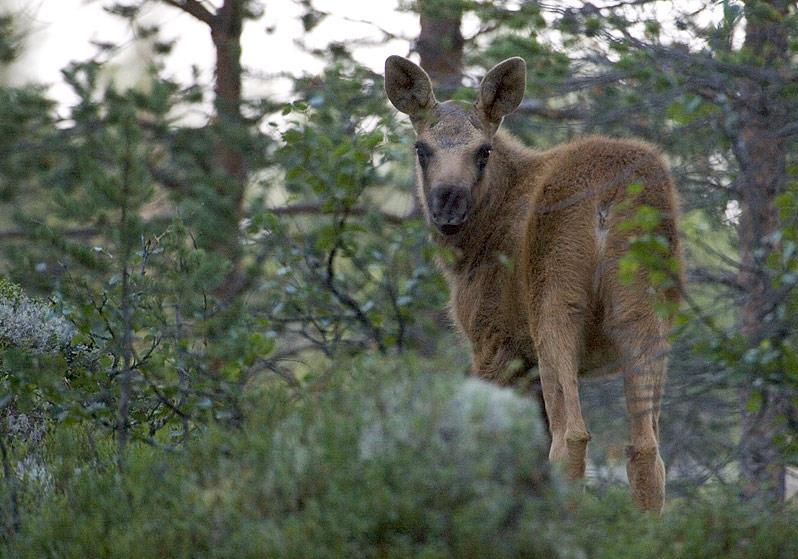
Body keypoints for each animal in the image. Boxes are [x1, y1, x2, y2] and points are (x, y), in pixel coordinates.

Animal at [384, 53, 684, 512]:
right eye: (422, 149)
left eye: (483, 150)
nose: (448, 202)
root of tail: (610, 197)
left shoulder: (494, 339)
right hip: (646, 311)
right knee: (646, 448)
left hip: (555, 302)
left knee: (571, 436)